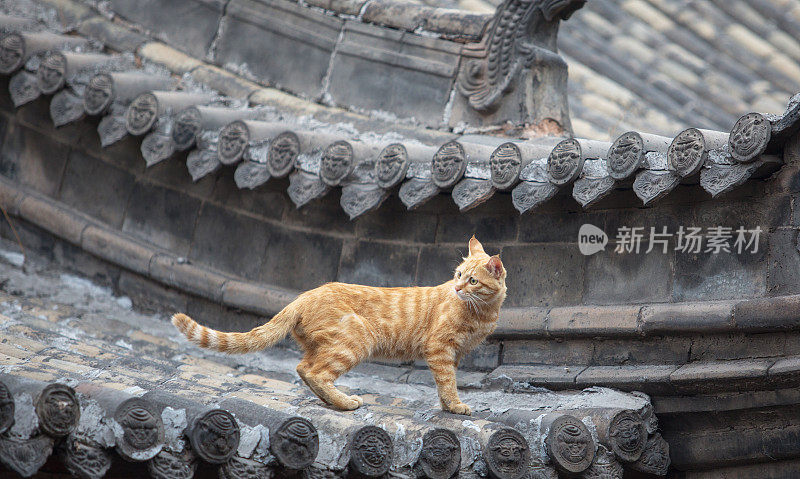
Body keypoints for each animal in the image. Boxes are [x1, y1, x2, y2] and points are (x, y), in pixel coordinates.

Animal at [172, 234, 506, 414]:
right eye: (458, 275)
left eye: (472, 280)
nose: (457, 288)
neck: (483, 313)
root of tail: (306, 295)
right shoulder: (439, 348)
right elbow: (448, 382)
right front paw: (455, 406)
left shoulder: (454, 353)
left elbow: (444, 382)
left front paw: (447, 406)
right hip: (356, 340)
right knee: (317, 373)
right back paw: (346, 402)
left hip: (322, 345)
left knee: (303, 368)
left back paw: (332, 401)